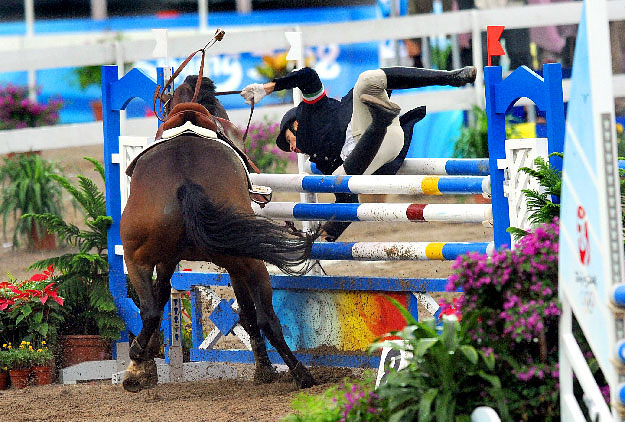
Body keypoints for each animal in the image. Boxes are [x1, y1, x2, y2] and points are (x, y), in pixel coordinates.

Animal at [119, 75, 316, 392]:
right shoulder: (222, 264)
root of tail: (185, 183)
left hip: (136, 260)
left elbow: (161, 297)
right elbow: (247, 314)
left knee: (149, 311)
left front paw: (144, 365)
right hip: (247, 261)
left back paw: (136, 359)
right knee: (266, 318)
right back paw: (299, 373)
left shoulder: (167, 261)